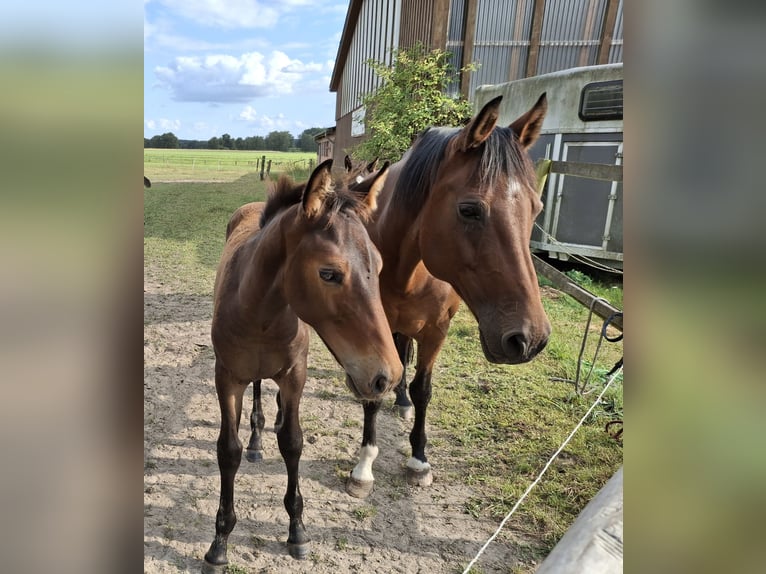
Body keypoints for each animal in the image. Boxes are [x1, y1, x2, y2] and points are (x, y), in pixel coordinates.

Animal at [204, 160, 408, 568]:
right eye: (328, 273)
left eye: (378, 266)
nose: (388, 377)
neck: (261, 315)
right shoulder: (227, 377)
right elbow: (228, 451)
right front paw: (220, 540)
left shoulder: (294, 375)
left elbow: (292, 442)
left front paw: (297, 530)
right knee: (256, 392)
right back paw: (256, 439)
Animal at [346, 92, 552, 498]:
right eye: (469, 209)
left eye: (536, 208)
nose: (530, 338)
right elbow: (377, 388)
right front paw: (364, 466)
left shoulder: (437, 329)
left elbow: (423, 388)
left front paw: (419, 460)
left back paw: (403, 402)